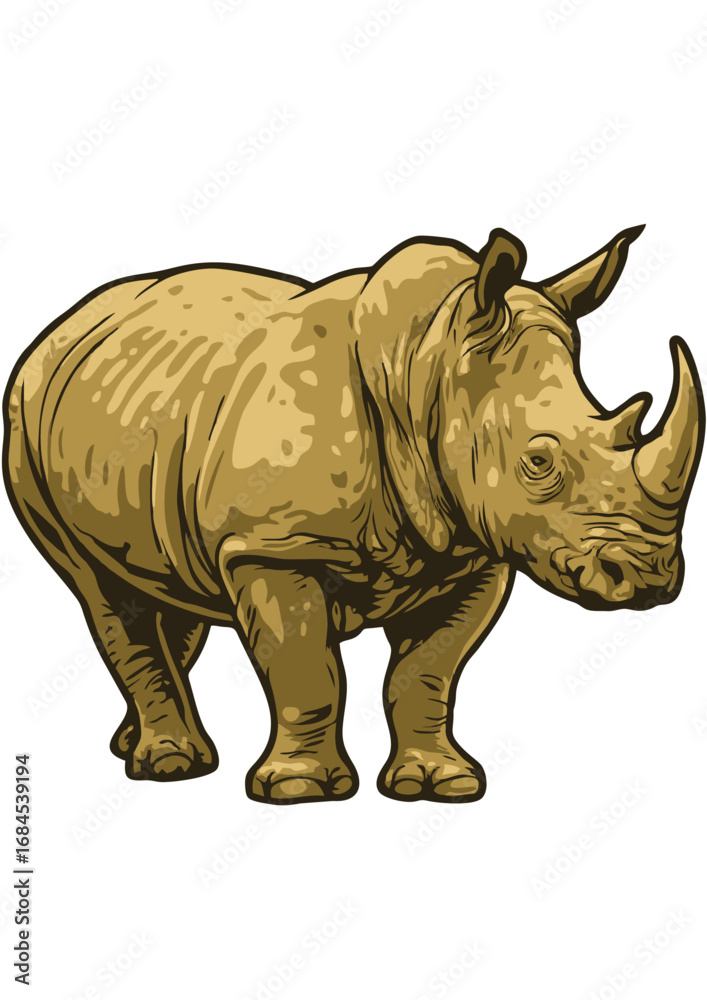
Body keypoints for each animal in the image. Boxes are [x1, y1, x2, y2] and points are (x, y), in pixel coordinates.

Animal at [3, 227, 703, 803]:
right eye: (538, 461)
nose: (649, 579)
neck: (427, 368)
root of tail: (64, 325)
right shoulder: (273, 546)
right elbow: (306, 667)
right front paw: (300, 792)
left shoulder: (472, 551)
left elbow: (427, 671)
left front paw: (439, 784)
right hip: (25, 415)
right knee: (105, 593)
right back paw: (172, 767)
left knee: (163, 588)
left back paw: (132, 747)